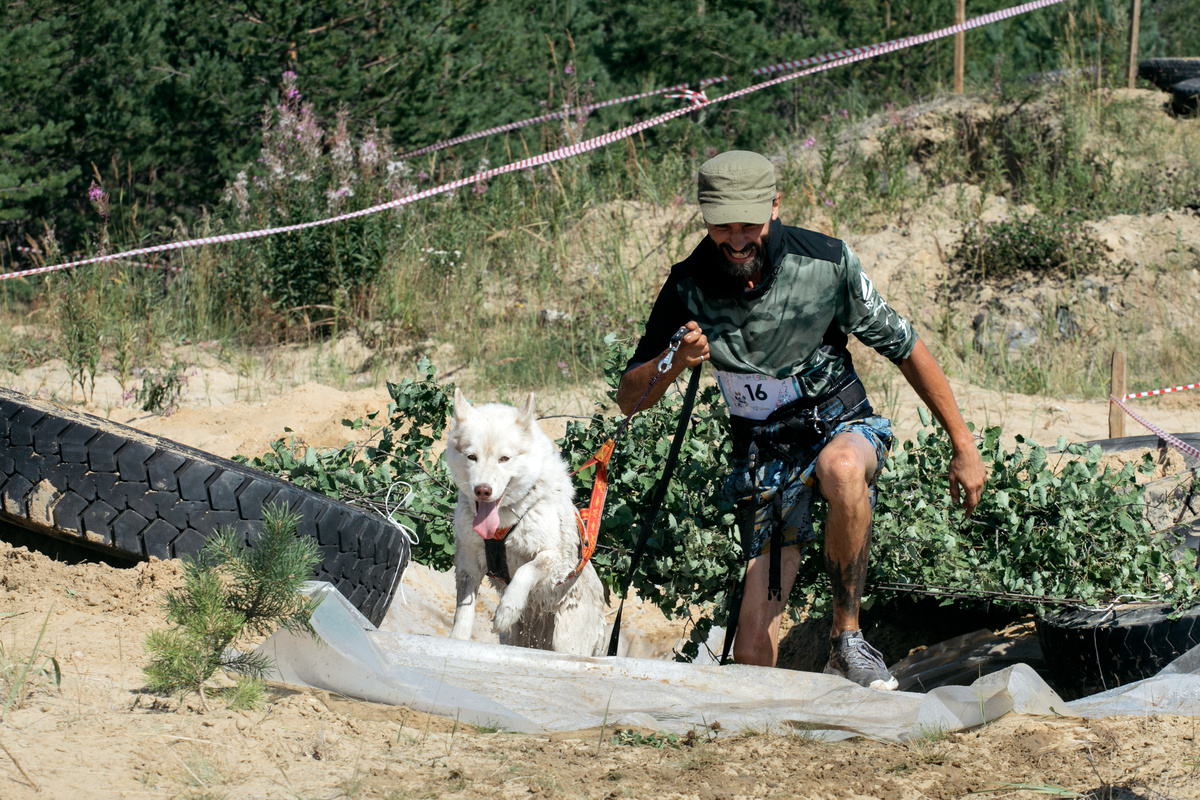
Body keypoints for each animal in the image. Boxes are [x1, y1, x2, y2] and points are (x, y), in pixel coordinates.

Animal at [444, 388, 604, 657]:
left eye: (504, 458)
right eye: (471, 457)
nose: (483, 491)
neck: (504, 524)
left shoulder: (557, 560)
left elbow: (526, 570)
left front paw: (507, 609)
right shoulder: (468, 561)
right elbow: (463, 609)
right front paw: (457, 641)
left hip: (565, 642)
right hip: (518, 638)